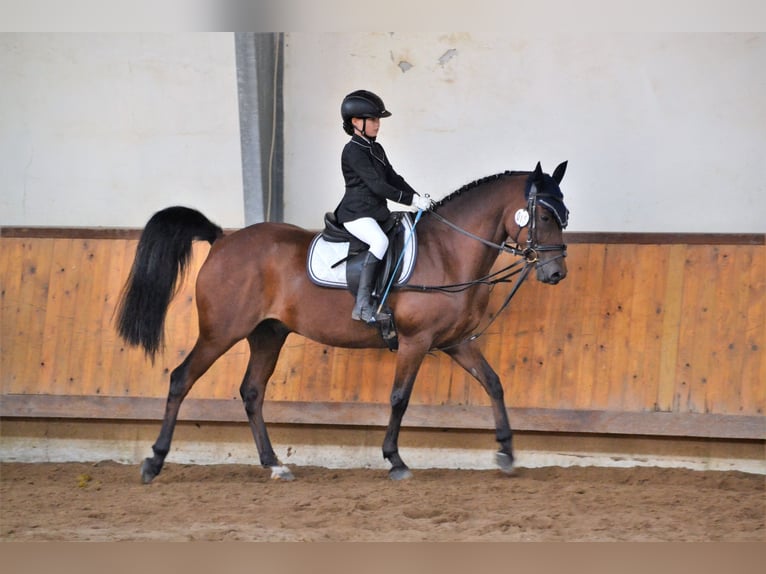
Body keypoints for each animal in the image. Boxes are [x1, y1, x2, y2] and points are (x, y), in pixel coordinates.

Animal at [115, 160, 568, 484]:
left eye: (564, 214)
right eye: (545, 217)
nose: (556, 273)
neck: (449, 251)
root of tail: (223, 239)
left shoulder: (455, 342)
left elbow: (493, 383)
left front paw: (506, 452)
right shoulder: (415, 341)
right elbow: (399, 398)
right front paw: (395, 460)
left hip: (267, 335)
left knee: (252, 392)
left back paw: (274, 464)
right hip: (221, 333)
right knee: (181, 379)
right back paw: (154, 462)